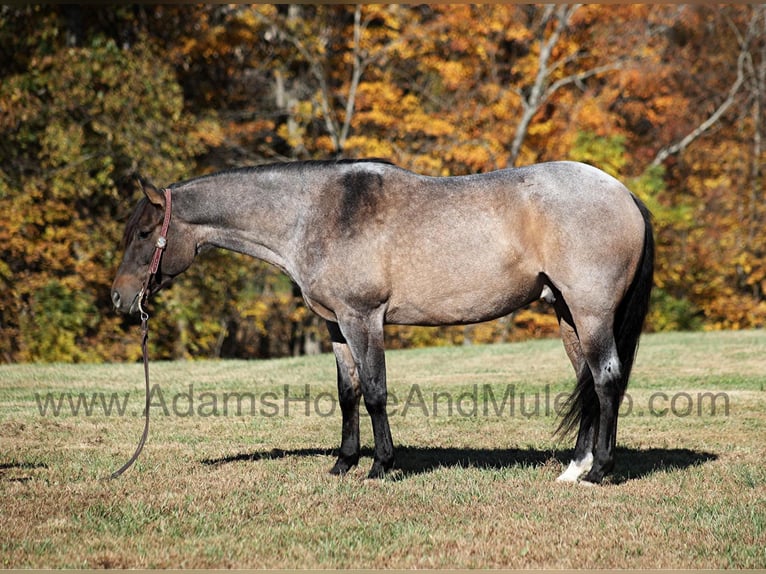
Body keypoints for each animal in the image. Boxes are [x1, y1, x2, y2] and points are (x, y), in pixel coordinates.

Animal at [112, 159, 654, 484]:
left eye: (144, 232)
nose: (119, 298)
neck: (317, 214)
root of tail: (623, 192)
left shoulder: (363, 318)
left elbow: (374, 392)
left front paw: (381, 466)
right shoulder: (336, 326)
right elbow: (348, 393)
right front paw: (343, 463)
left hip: (590, 312)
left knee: (606, 380)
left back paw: (601, 471)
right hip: (567, 313)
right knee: (587, 383)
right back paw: (574, 470)